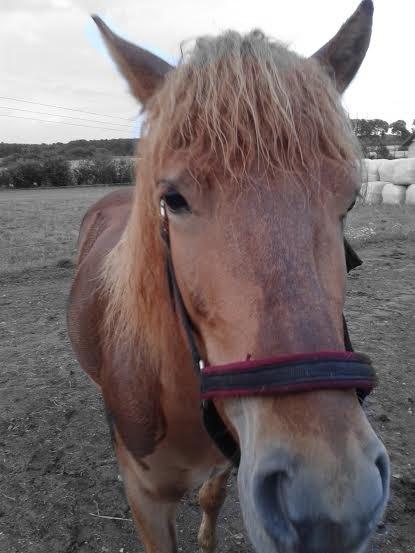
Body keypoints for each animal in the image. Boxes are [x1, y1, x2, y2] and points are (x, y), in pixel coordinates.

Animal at [68, 2, 390, 548]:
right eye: (173, 199)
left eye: (349, 201)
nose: (333, 502)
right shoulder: (145, 501)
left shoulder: (229, 458)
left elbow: (212, 497)